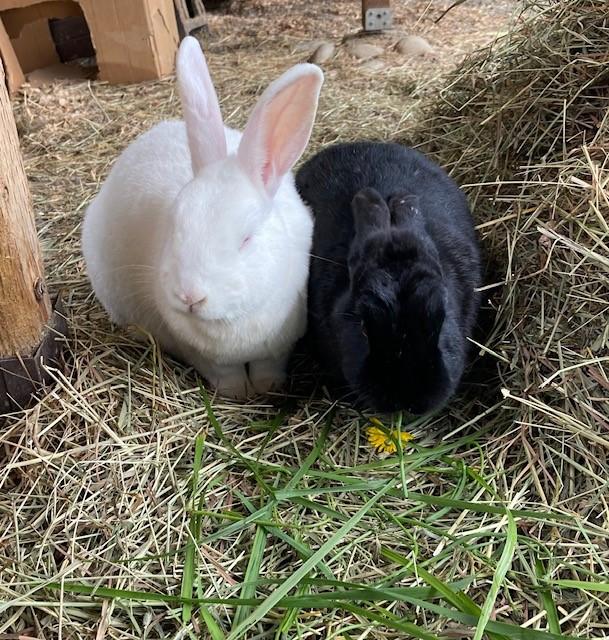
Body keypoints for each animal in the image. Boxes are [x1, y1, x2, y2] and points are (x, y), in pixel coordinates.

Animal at [81, 36, 324, 399]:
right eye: (175, 225)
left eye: (246, 239)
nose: (190, 296)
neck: (229, 323)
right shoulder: (201, 355)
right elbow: (224, 374)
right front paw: (237, 393)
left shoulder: (278, 346)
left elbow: (269, 366)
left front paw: (267, 387)